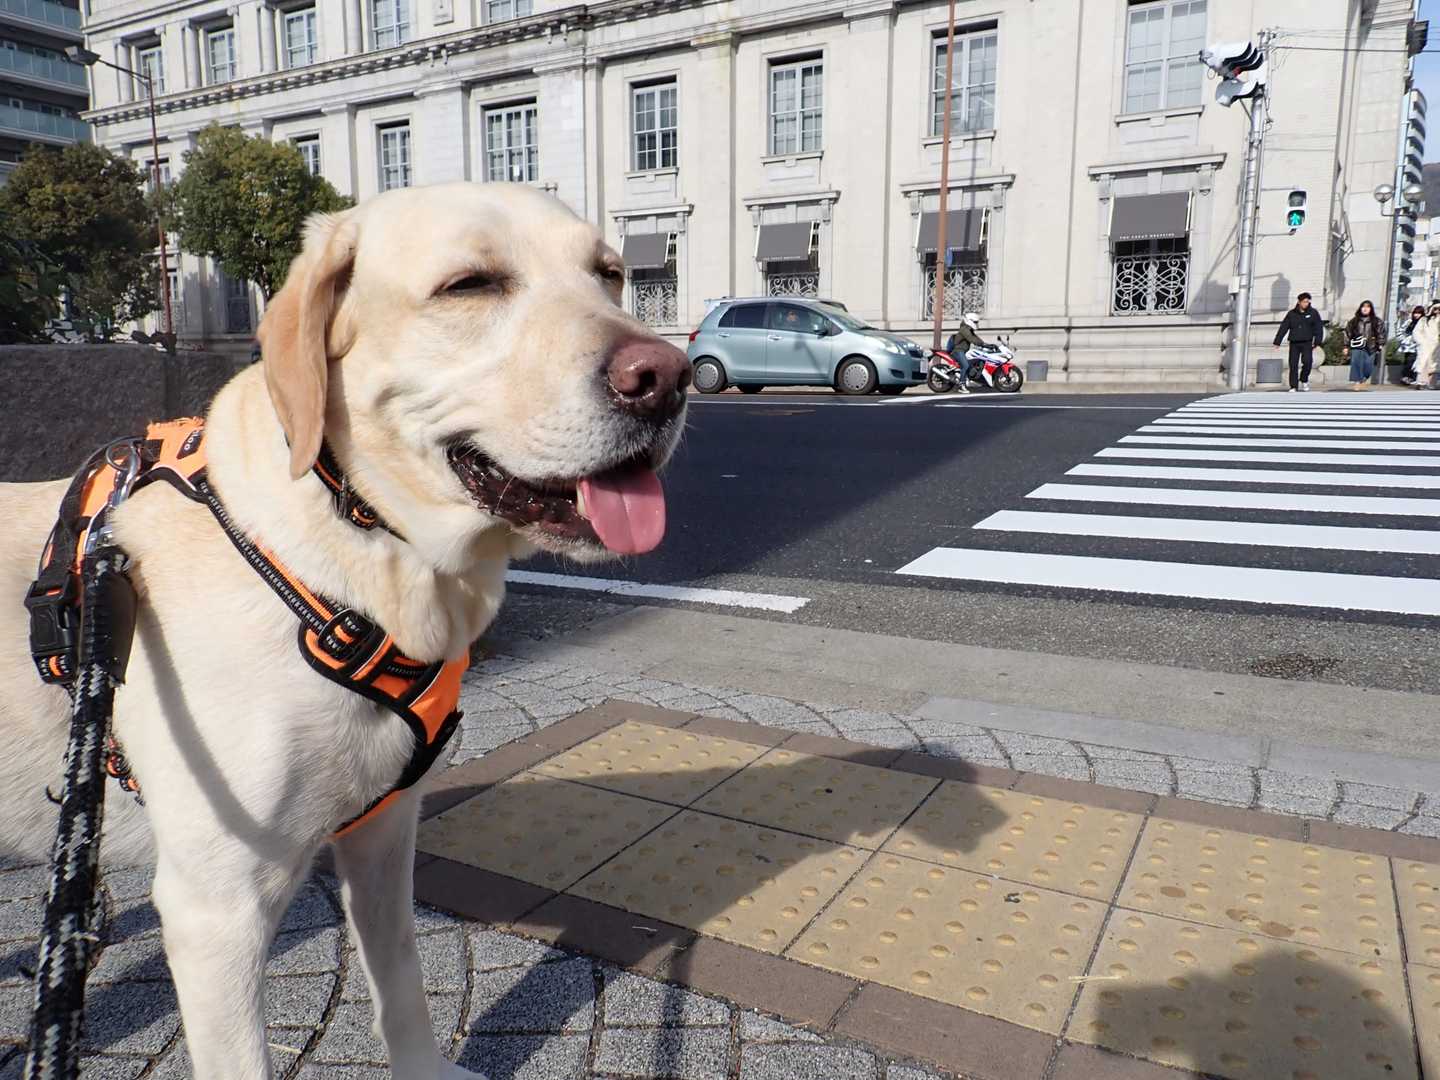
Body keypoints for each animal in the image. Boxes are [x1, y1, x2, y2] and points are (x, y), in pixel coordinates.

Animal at [0, 182, 690, 1077]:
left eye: (610, 274)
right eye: (470, 286)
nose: (669, 377)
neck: (354, 557)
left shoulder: (384, 830)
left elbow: (403, 987)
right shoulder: (216, 909)